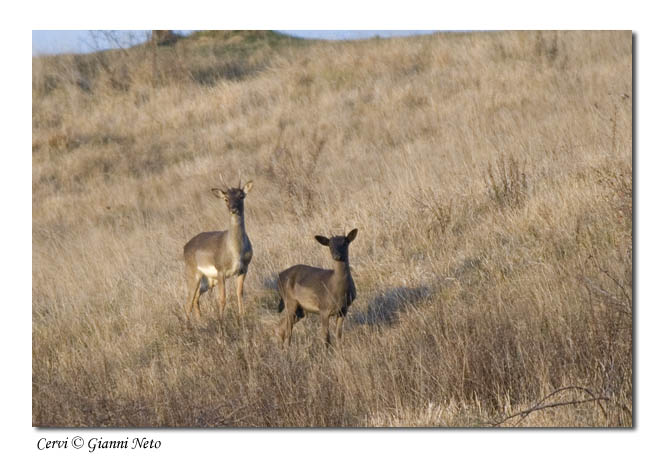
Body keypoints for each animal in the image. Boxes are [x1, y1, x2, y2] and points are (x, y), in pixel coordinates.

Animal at [183, 176, 253, 322]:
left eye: (241, 196)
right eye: (226, 198)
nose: (233, 209)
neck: (235, 251)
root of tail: (185, 247)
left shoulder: (244, 268)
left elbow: (239, 293)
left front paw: (242, 317)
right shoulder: (221, 270)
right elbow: (222, 298)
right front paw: (221, 321)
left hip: (209, 280)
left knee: (195, 298)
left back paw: (200, 321)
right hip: (192, 273)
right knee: (188, 301)